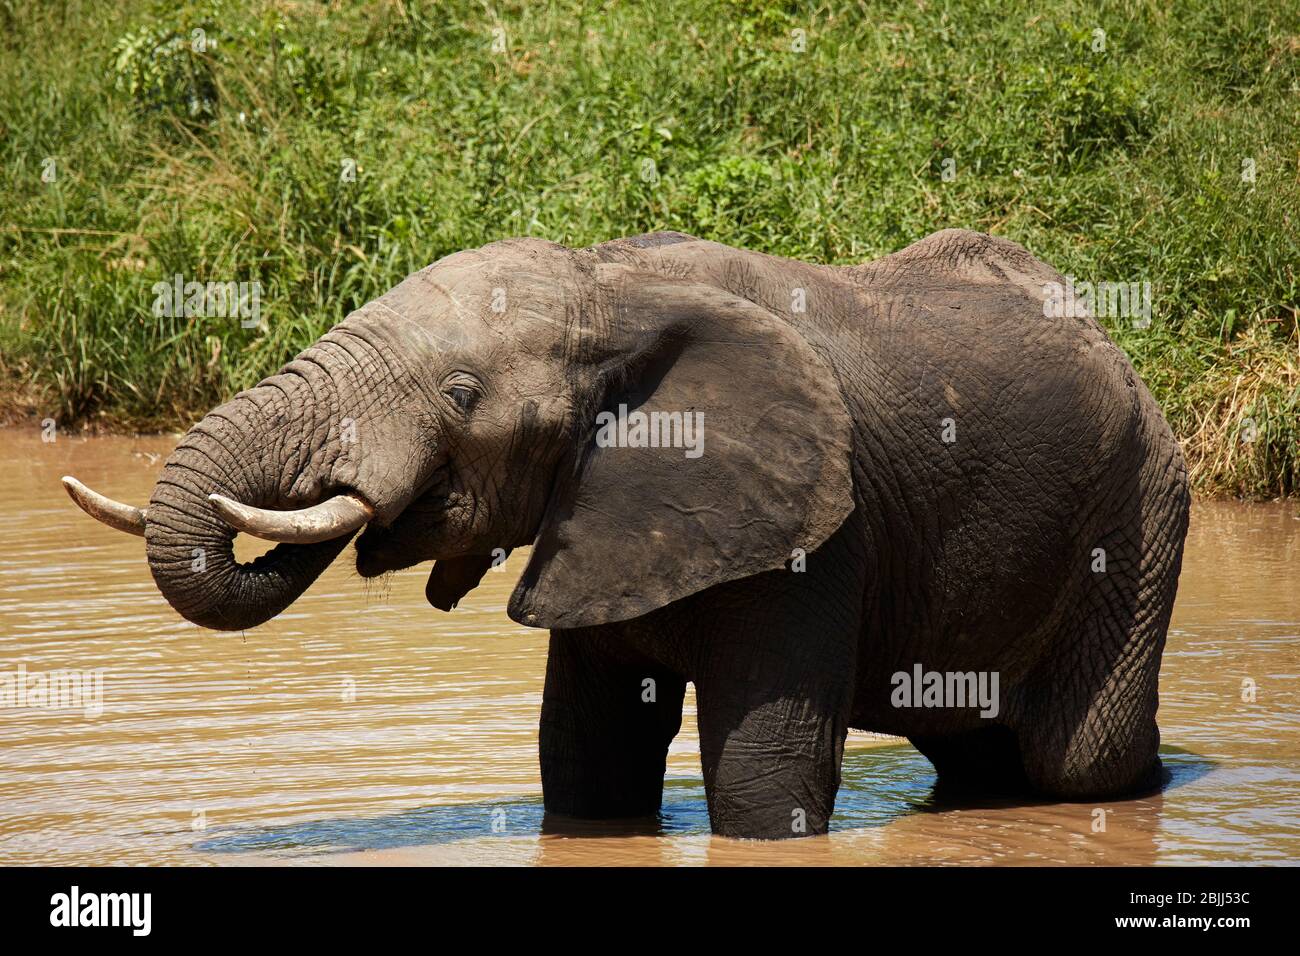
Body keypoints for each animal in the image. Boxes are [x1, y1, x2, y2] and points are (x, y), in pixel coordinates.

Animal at [63, 230, 1190, 837]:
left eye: (460, 395)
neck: (607, 285)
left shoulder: (822, 532)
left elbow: (762, 778)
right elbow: (587, 761)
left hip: (1141, 513)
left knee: (1080, 763)